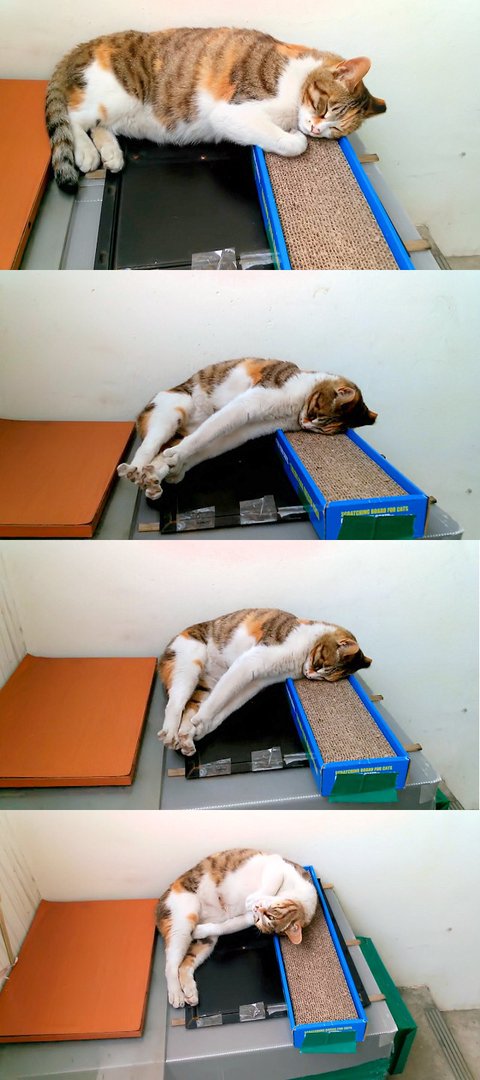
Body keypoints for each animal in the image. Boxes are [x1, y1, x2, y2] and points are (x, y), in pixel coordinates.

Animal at [46, 27, 387, 192]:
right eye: (324, 106)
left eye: (335, 130)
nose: (316, 128)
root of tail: (86, 45)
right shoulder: (231, 112)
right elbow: (293, 143)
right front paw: (296, 137)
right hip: (122, 94)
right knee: (74, 116)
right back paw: (86, 153)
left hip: (120, 110)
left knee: (100, 124)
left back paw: (111, 153)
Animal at [117, 359, 377, 499]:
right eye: (316, 414)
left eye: (322, 429)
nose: (306, 424)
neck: (295, 407)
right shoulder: (248, 404)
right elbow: (204, 435)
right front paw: (179, 455)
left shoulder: (248, 428)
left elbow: (206, 441)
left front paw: (177, 461)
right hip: (170, 413)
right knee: (148, 448)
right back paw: (135, 470)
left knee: (166, 454)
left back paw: (159, 477)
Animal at [156, 848, 318, 1008]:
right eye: (270, 916)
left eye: (264, 919)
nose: (256, 909)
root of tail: (161, 898)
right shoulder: (277, 865)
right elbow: (273, 884)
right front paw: (252, 898)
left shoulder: (247, 918)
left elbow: (225, 926)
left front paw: (200, 930)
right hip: (182, 922)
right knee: (170, 965)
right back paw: (176, 994)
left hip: (206, 943)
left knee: (184, 965)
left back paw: (190, 992)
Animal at [158, 607, 372, 756]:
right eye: (321, 664)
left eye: (325, 678)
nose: (311, 675)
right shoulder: (250, 662)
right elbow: (219, 698)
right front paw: (202, 719)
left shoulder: (256, 682)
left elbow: (227, 706)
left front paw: (203, 726)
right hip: (189, 665)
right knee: (175, 704)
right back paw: (169, 734)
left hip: (207, 682)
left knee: (189, 707)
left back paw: (186, 738)